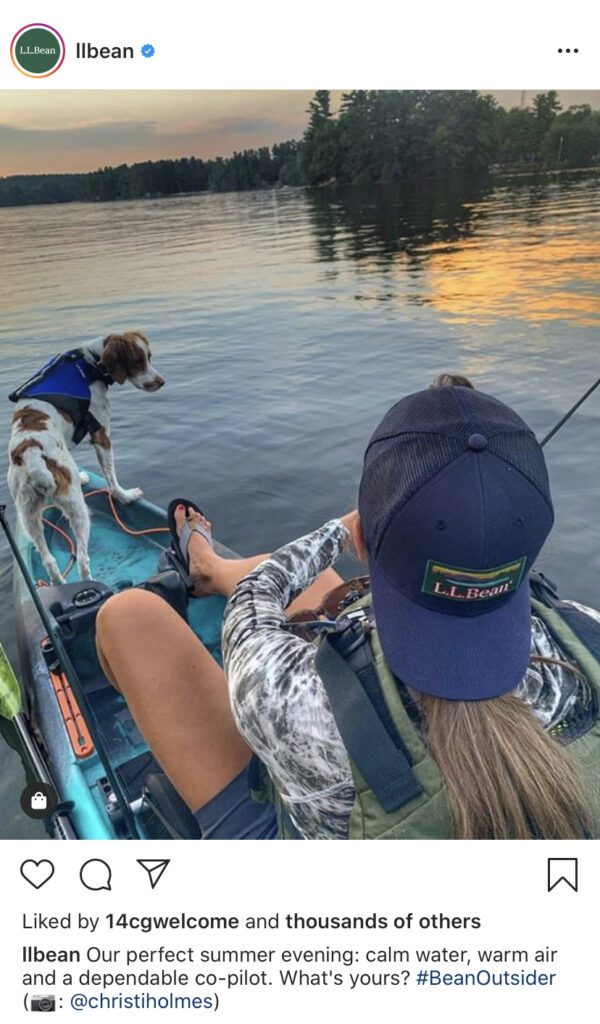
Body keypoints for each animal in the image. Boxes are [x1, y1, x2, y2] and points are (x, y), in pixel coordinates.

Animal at [7, 327, 165, 585]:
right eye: (137, 361)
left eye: (149, 357)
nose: (161, 382)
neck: (90, 363)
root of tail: (32, 455)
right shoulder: (101, 434)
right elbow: (111, 476)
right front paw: (124, 495)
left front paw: (81, 476)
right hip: (78, 511)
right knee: (82, 558)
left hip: (29, 516)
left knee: (48, 560)